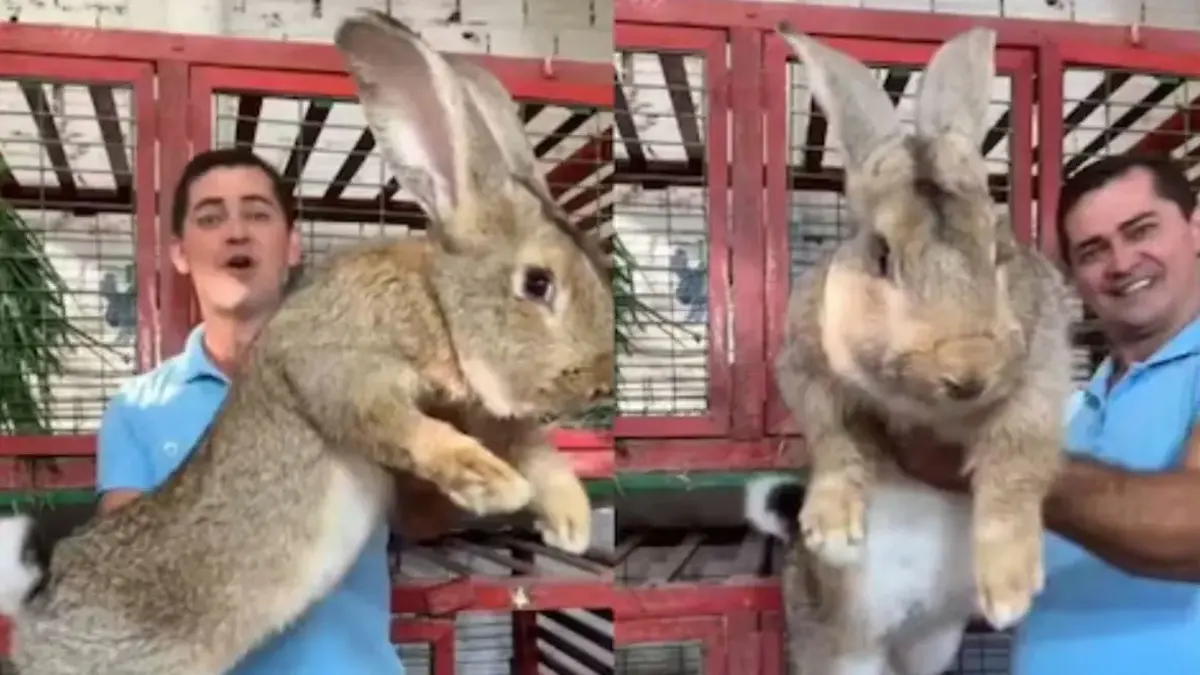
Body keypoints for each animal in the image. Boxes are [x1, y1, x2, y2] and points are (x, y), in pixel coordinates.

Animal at [0, 11, 614, 672]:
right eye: (537, 283)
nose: (600, 380)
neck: (436, 302)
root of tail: (39, 594)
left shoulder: (485, 412)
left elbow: (537, 452)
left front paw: (571, 520)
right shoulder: (339, 372)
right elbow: (411, 430)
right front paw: (493, 481)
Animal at [744, 23, 1075, 667]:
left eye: (999, 249)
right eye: (881, 255)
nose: (969, 368)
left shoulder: (1040, 380)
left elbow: (1015, 465)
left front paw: (1010, 590)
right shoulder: (806, 370)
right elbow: (836, 439)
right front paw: (831, 530)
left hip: (935, 644)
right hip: (846, 654)